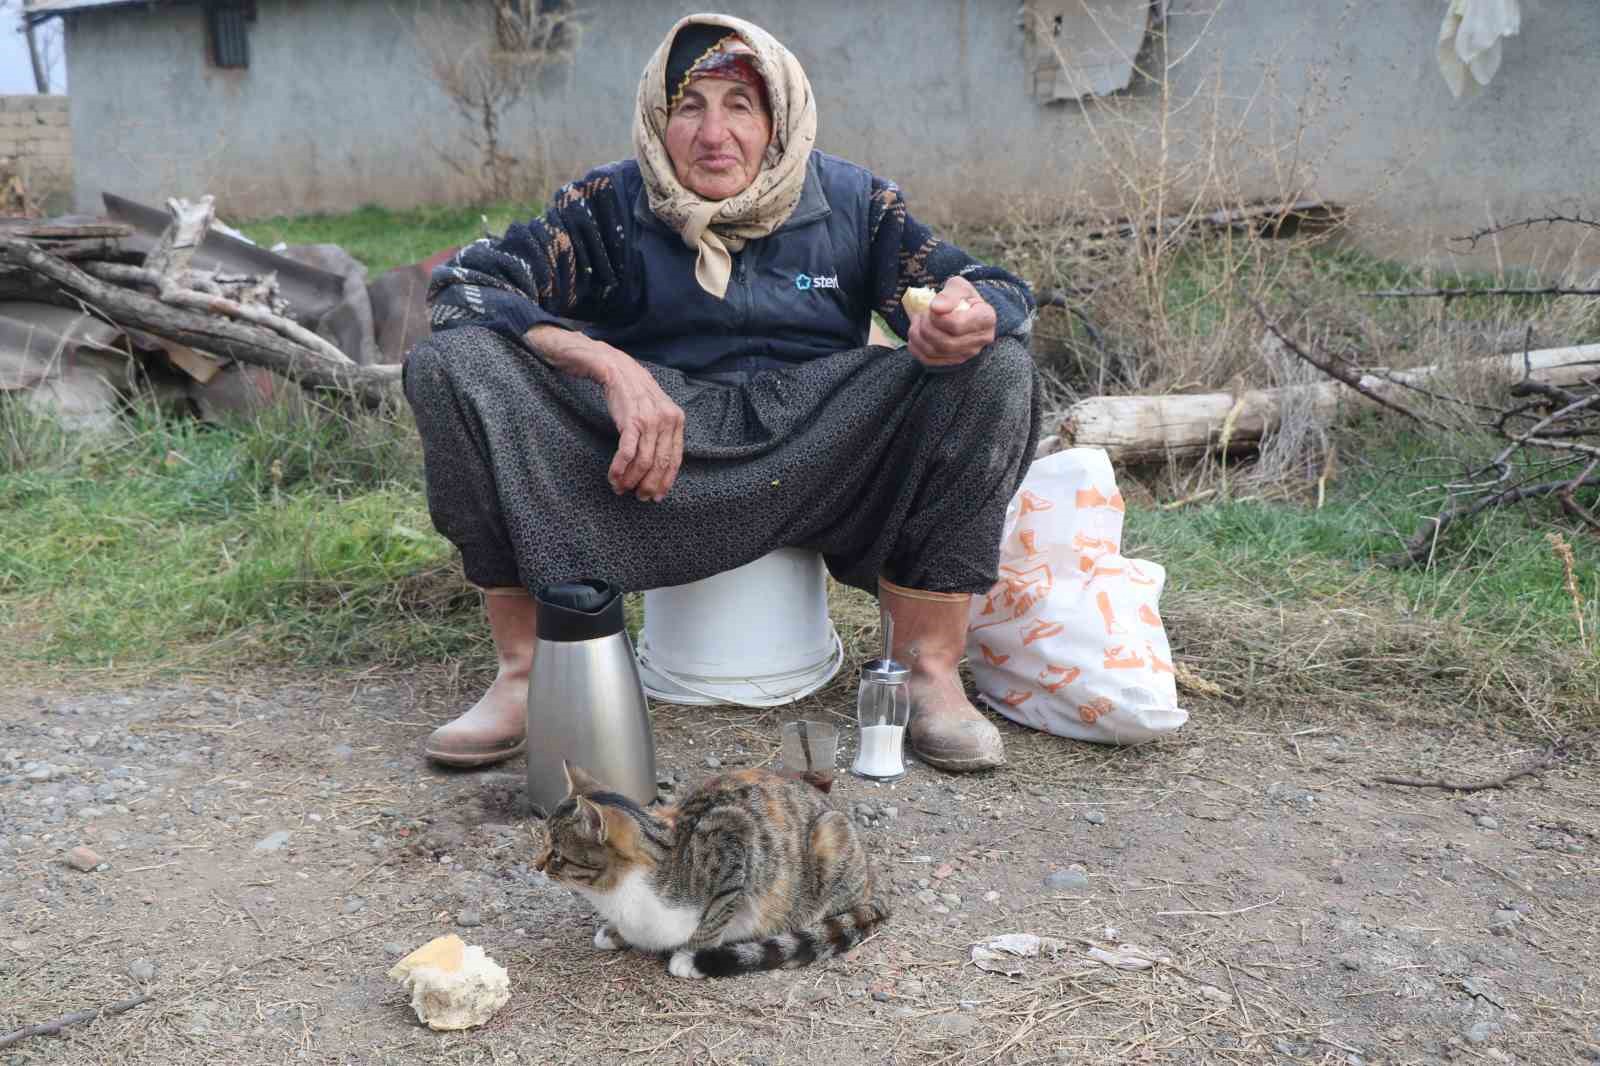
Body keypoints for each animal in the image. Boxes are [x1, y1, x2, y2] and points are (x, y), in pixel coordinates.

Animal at [534, 758, 889, 973]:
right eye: (542, 841)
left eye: (556, 854)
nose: (535, 865)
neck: (618, 896)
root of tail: (872, 882)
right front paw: (617, 932)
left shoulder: (733, 841)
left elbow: (718, 913)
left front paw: (692, 953)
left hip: (829, 836)